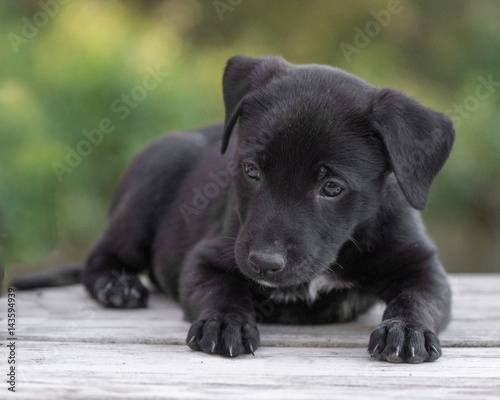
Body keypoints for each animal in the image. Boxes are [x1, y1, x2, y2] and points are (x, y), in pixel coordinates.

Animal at [15, 55, 456, 362]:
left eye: (332, 187)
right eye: (251, 170)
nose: (264, 263)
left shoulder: (421, 265)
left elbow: (418, 298)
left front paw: (406, 332)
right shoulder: (205, 256)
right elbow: (222, 288)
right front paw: (225, 323)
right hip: (147, 193)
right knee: (101, 256)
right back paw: (117, 286)